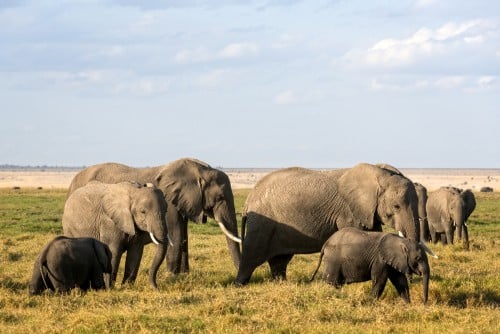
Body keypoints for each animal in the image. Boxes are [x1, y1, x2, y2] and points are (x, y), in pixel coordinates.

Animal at [66, 158, 242, 276]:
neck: (200, 169)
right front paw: (172, 277)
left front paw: (184, 275)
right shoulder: (169, 203)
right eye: (220, 198)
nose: (239, 279)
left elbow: (184, 236)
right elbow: (176, 234)